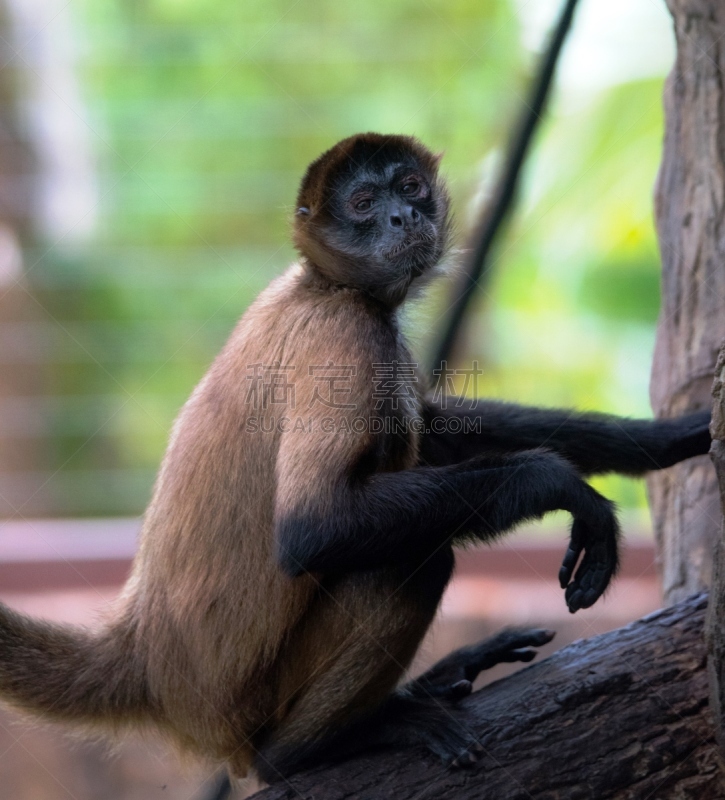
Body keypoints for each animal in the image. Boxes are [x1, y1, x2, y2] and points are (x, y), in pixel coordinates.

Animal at [0, 133, 708, 780]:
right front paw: (562, 488)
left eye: (410, 187)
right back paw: (317, 745)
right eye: (365, 203)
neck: (320, 285)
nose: (402, 217)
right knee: (413, 562)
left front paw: (665, 437)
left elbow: (437, 427)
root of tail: (143, 648)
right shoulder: (346, 338)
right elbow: (313, 528)